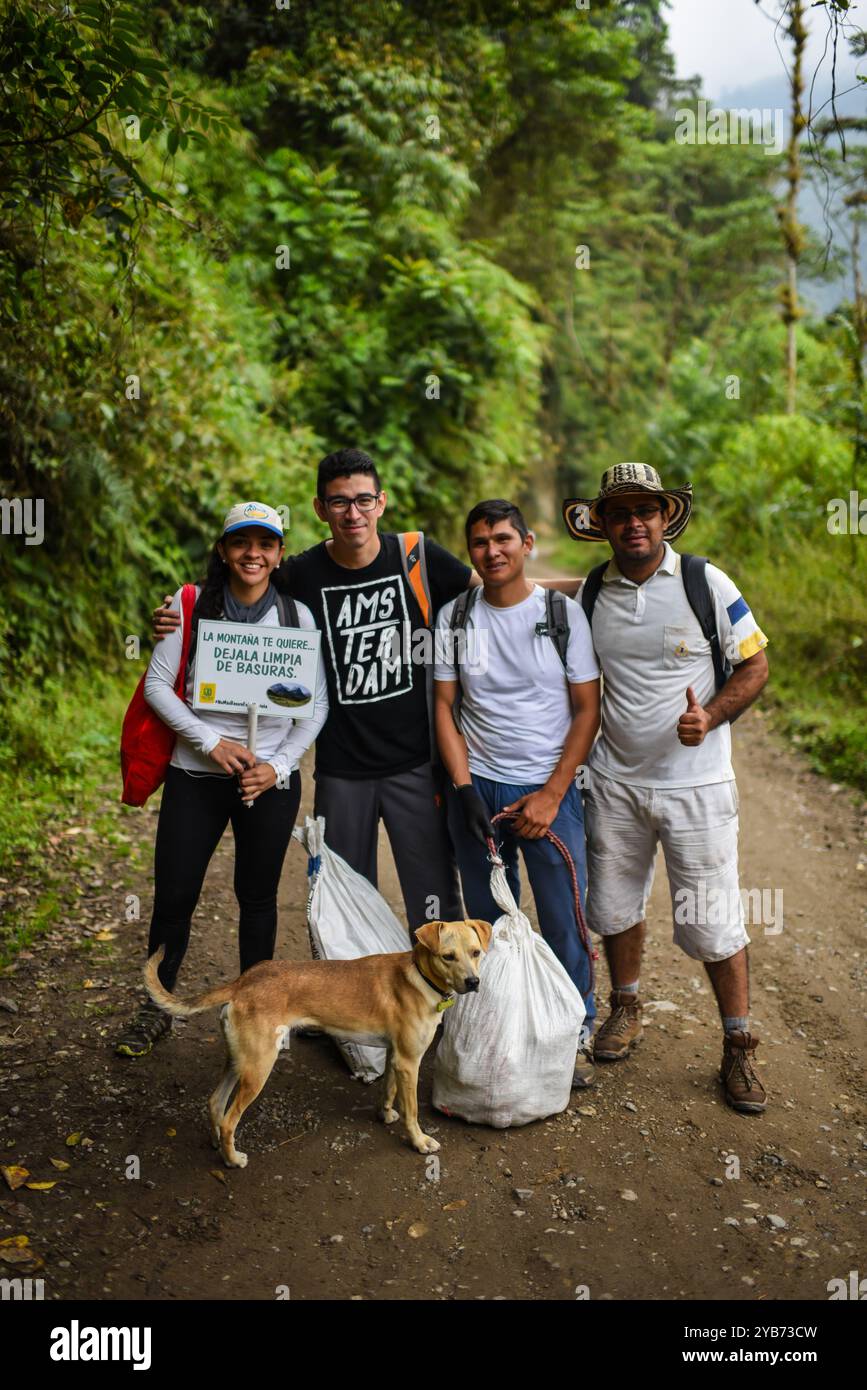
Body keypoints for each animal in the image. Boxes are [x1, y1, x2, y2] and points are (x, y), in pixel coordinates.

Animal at [145, 917, 491, 1167]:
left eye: (476, 953)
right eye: (448, 957)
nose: (473, 982)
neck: (419, 975)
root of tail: (243, 981)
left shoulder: (396, 1055)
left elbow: (389, 1090)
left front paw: (385, 1114)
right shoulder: (409, 1061)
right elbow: (413, 1110)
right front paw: (419, 1141)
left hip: (239, 1061)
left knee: (215, 1103)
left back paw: (217, 1144)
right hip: (258, 1067)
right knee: (230, 1120)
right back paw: (232, 1160)